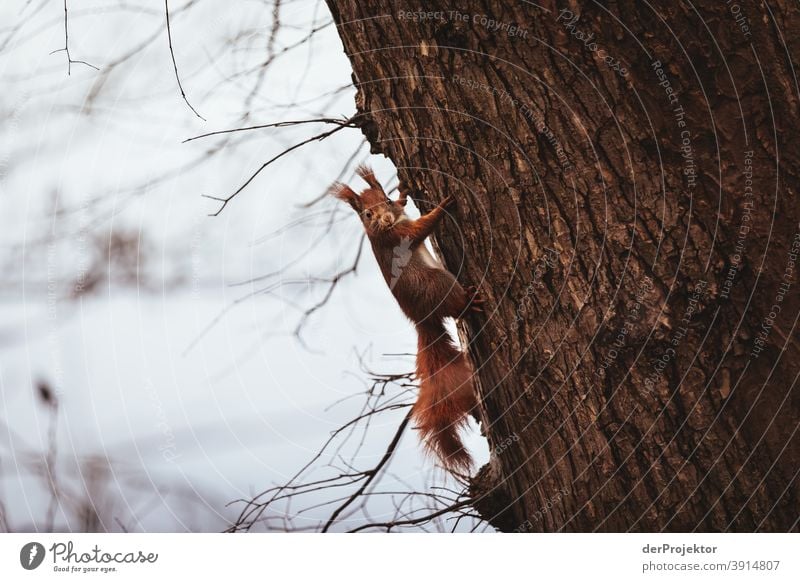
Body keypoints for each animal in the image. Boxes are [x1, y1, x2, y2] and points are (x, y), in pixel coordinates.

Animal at [330, 165, 484, 474]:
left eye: (387, 200)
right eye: (367, 214)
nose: (386, 218)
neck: (386, 228)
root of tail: (422, 319)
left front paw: (404, 192)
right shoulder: (401, 235)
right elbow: (422, 227)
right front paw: (442, 206)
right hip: (438, 282)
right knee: (456, 309)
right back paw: (468, 302)